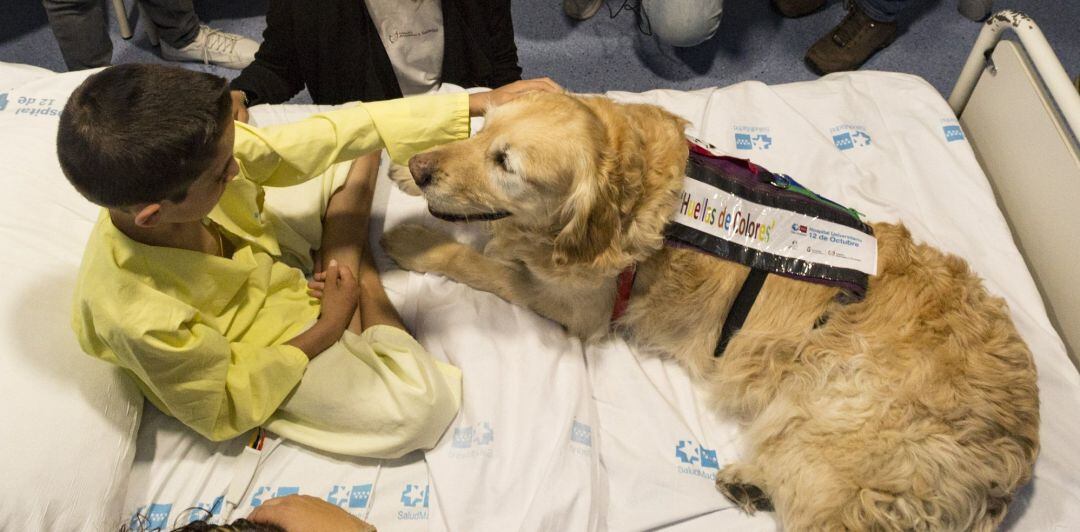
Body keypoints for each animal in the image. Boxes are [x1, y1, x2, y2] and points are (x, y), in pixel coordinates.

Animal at [384, 93, 1041, 528]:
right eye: (482, 129)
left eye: (507, 165)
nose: (421, 169)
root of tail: (1013, 453)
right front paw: (405, 163)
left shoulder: (576, 306)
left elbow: (480, 263)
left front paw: (415, 241)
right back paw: (750, 484)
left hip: (839, 431)